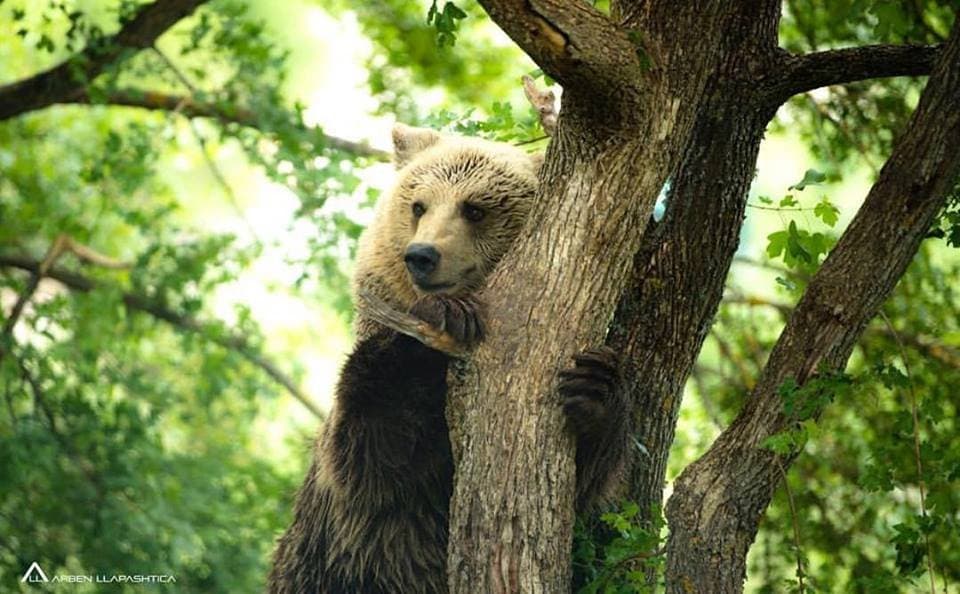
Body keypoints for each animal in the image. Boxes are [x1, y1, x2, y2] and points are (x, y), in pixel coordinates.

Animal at [267, 124, 634, 594]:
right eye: (418, 205)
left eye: (474, 209)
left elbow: (587, 482)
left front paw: (593, 387)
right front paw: (447, 315)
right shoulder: (367, 503)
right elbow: (375, 452)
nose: (422, 255)